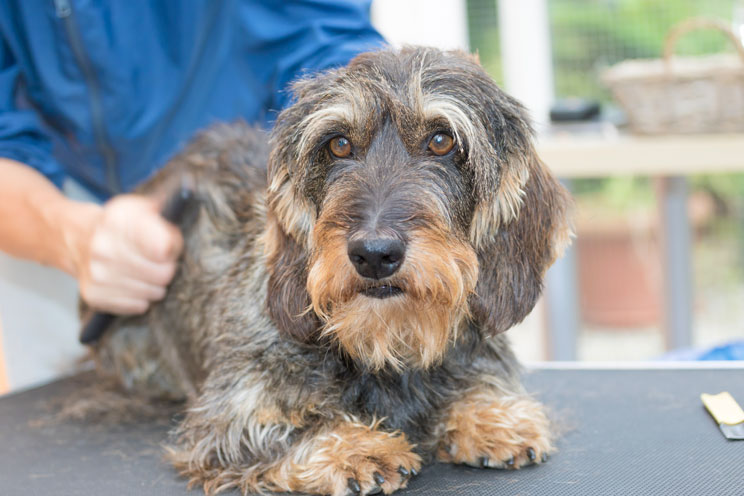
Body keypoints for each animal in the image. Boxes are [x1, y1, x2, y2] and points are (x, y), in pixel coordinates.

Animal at [88, 47, 576, 496]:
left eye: (442, 140)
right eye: (338, 144)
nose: (374, 254)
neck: (385, 344)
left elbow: (481, 385)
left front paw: (493, 415)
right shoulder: (229, 417)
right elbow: (278, 429)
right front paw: (355, 447)